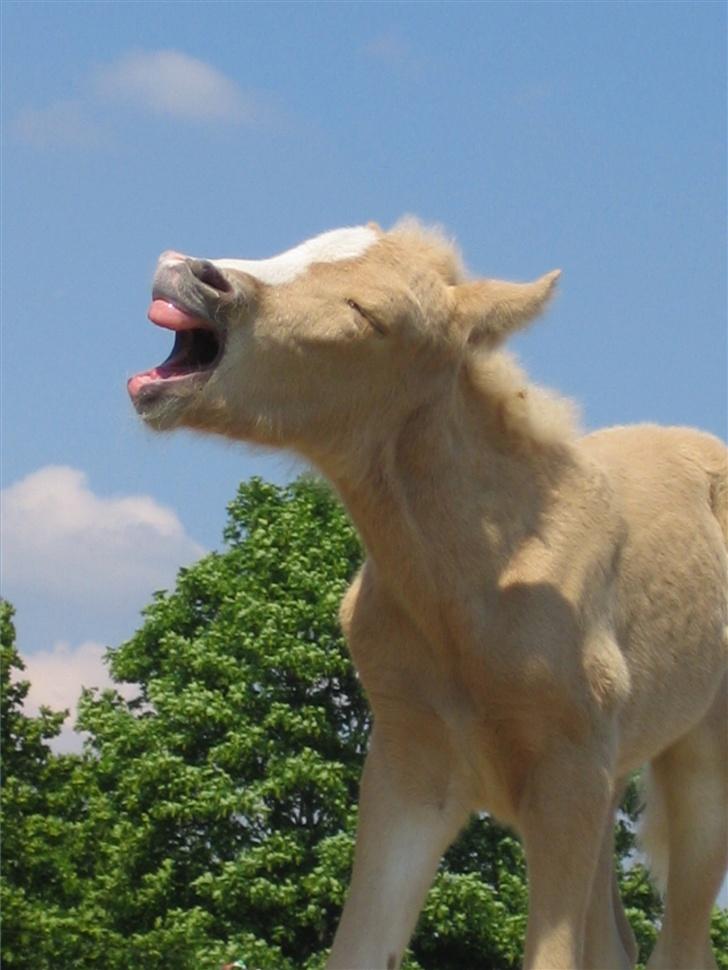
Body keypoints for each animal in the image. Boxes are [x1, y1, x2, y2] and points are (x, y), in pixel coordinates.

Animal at [128, 221, 724, 968]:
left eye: (370, 316)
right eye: (303, 243)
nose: (190, 274)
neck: (478, 584)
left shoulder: (564, 774)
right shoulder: (411, 767)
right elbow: (360, 946)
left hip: (695, 761)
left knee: (681, 942)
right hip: (610, 770)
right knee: (614, 941)